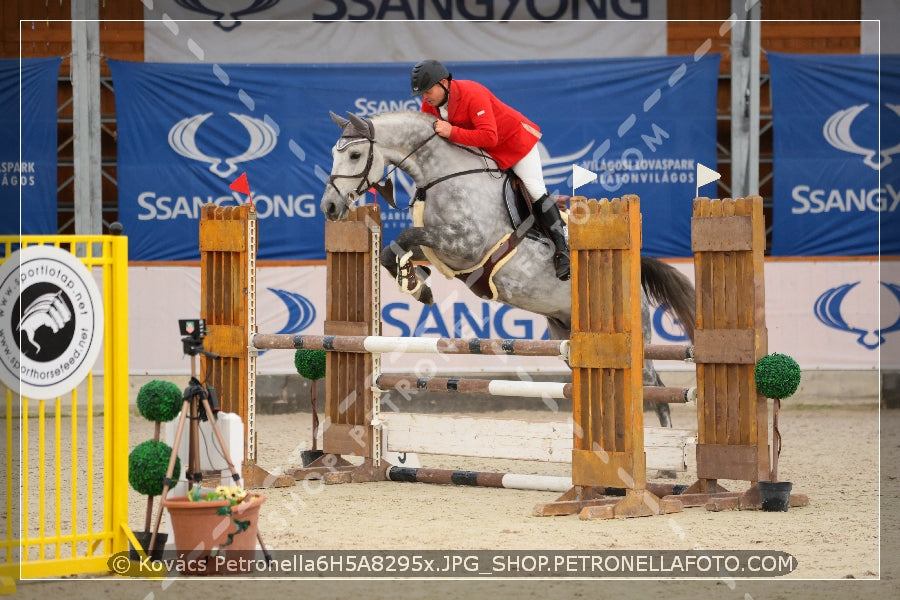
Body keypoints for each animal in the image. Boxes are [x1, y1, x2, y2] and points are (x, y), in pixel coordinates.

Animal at [320, 110, 700, 432]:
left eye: (354, 156)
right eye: (335, 155)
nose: (330, 207)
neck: (445, 177)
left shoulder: (466, 245)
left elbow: (407, 236)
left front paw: (416, 283)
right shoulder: (443, 249)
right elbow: (393, 249)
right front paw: (417, 284)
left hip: (637, 345)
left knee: (656, 390)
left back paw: (664, 459)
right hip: (565, 335)